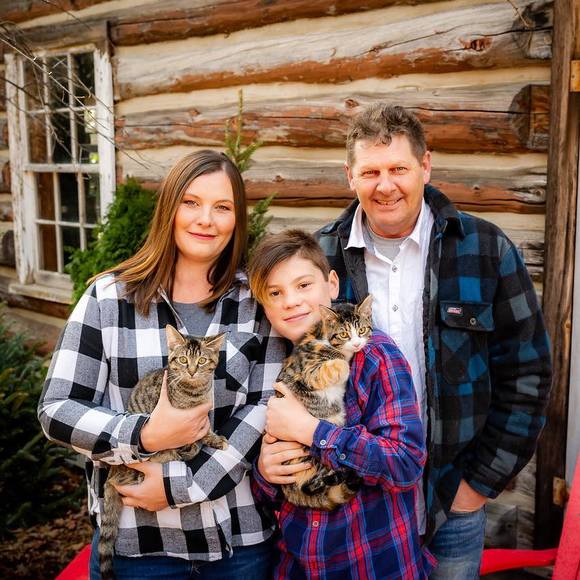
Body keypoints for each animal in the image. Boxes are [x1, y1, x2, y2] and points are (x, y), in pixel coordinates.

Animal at [98, 325, 227, 580]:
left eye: (202, 360)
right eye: (183, 359)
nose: (191, 371)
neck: (194, 393)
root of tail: (111, 474)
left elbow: (206, 431)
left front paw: (215, 439)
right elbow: (192, 440)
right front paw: (195, 445)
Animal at [277, 294, 373, 511]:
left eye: (362, 330)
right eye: (344, 334)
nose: (357, 344)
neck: (323, 337)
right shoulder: (307, 371)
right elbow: (337, 365)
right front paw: (344, 365)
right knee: (310, 486)